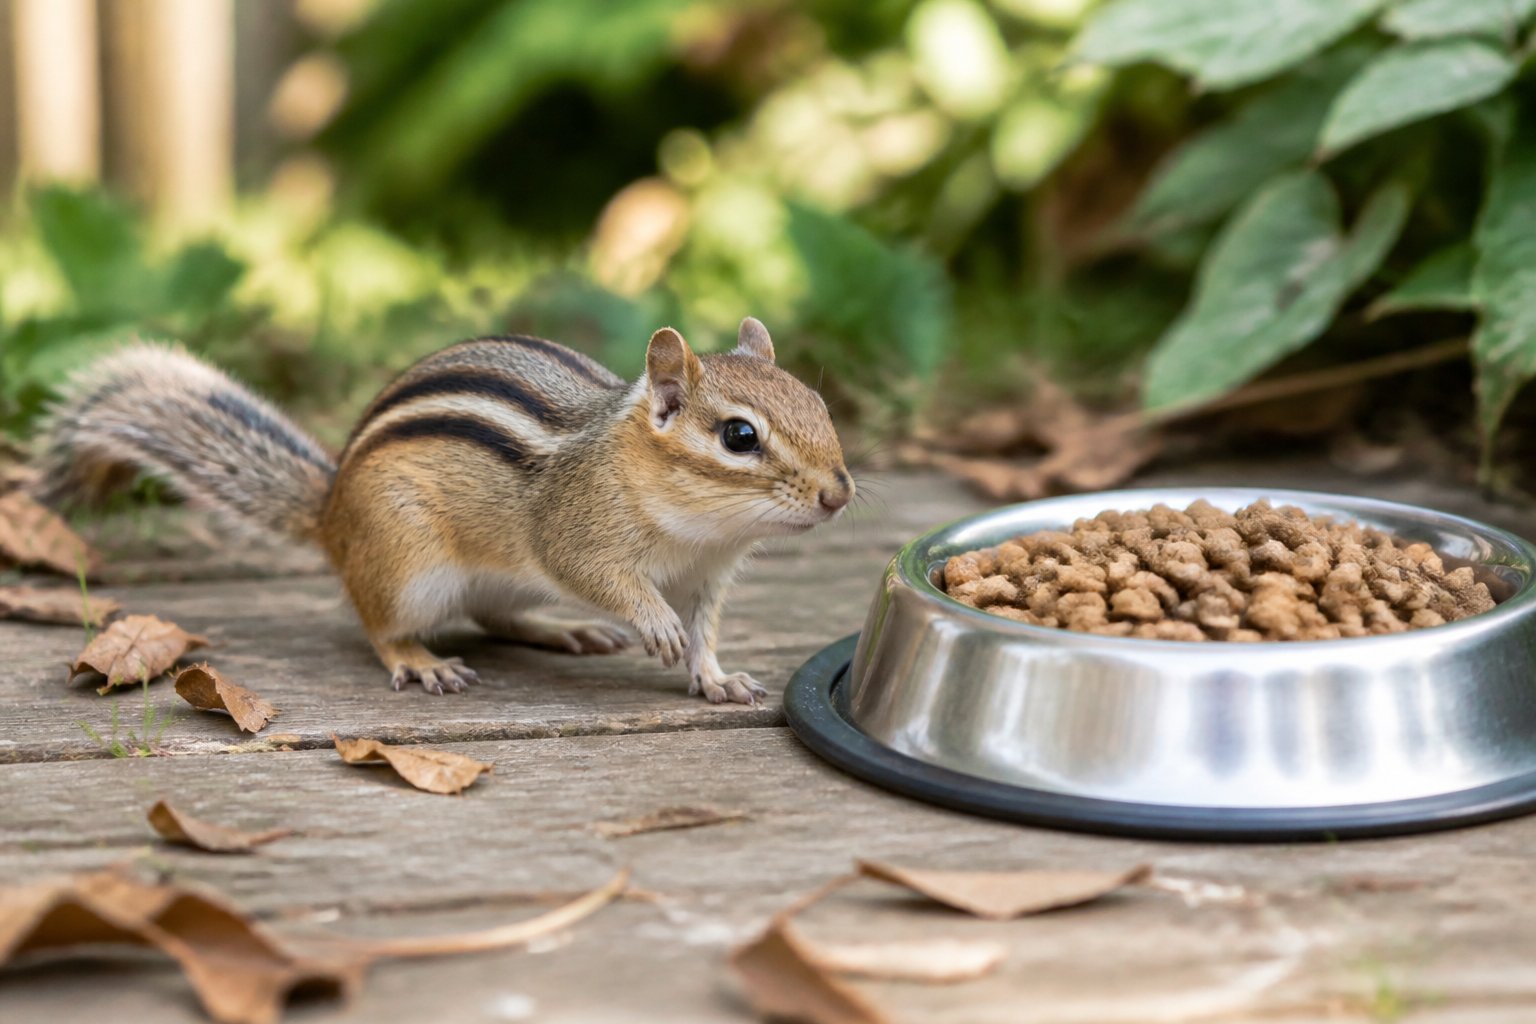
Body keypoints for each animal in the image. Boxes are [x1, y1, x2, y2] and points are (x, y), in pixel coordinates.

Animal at [37, 318, 852, 704]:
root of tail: (331, 516)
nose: (839, 493)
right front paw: (653, 623)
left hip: (493, 582)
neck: (699, 532)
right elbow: (604, 577)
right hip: (408, 565)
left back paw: (563, 631)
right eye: (739, 436)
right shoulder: (574, 533)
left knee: (494, 614)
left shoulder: (708, 579)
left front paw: (715, 677)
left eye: (818, 405)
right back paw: (421, 662)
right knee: (382, 627)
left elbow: (705, 634)